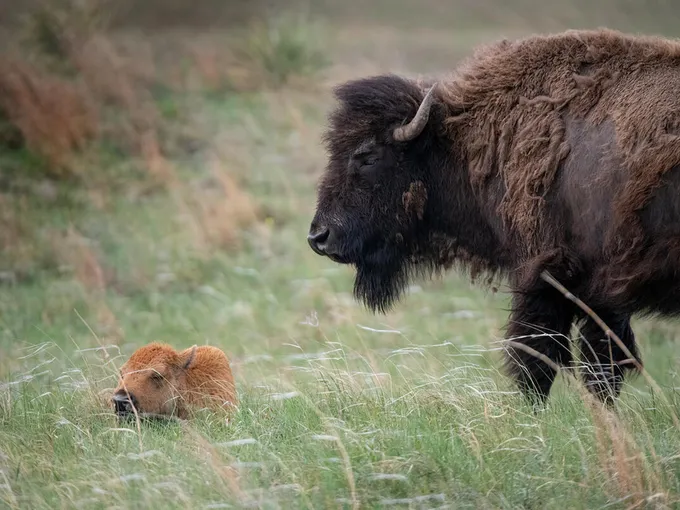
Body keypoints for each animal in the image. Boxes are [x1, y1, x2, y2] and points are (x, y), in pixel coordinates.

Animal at [307, 28, 680, 407]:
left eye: (367, 156)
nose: (318, 236)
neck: (464, 142)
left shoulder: (547, 275)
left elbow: (538, 360)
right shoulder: (602, 295)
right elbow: (600, 366)